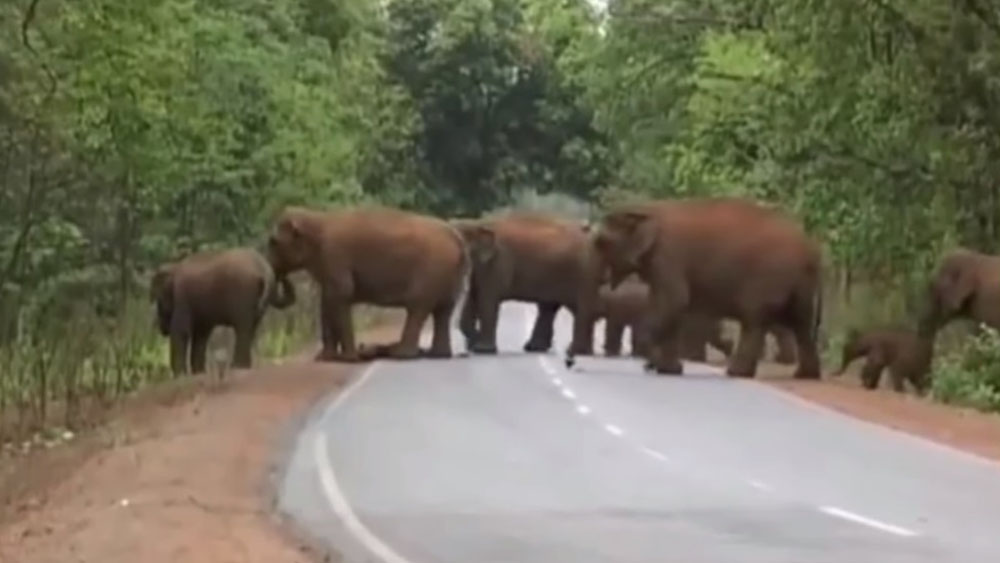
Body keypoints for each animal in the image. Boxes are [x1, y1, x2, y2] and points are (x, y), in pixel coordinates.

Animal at [150, 247, 295, 376]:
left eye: (158, 301)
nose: (162, 330)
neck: (174, 266)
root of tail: (264, 270)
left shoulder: (182, 298)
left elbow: (181, 332)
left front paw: (181, 376)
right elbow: (201, 335)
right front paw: (199, 373)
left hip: (243, 293)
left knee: (243, 328)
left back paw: (237, 367)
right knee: (250, 329)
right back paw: (243, 366)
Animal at [266, 205, 469, 361]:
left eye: (273, 242)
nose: (282, 277)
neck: (316, 218)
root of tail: (457, 237)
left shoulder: (334, 256)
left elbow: (341, 295)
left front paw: (348, 359)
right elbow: (327, 302)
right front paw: (324, 358)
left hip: (431, 272)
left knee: (418, 308)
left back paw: (401, 355)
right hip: (448, 276)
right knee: (443, 311)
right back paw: (438, 355)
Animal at [450, 213, 592, 354]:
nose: (466, 349)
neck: (477, 224)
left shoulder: (497, 263)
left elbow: (487, 300)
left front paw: (482, 349)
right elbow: (473, 297)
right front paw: (474, 345)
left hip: (578, 274)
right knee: (548, 307)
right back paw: (536, 348)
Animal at [568, 197, 823, 379]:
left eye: (601, 242)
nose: (569, 361)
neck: (647, 208)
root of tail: (812, 250)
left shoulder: (669, 256)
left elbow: (674, 301)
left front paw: (654, 365)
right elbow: (668, 304)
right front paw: (669, 369)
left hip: (769, 277)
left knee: (756, 319)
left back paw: (736, 373)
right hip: (797, 284)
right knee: (800, 322)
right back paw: (805, 375)